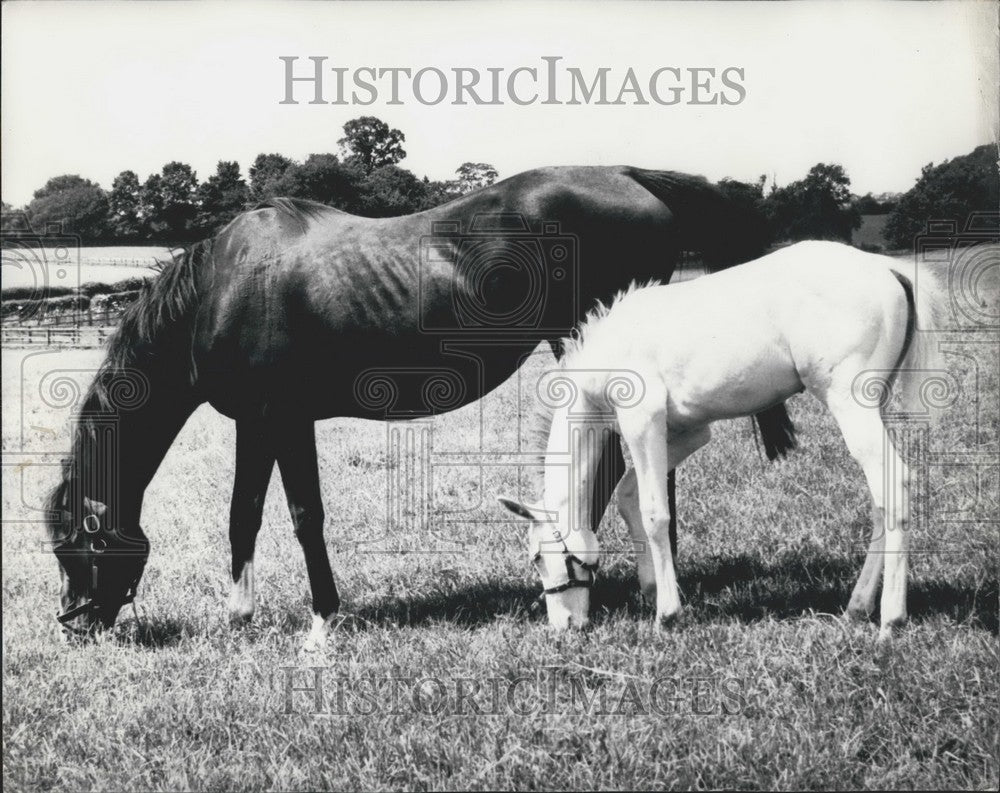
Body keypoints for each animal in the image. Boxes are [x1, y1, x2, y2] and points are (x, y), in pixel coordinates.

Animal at [47, 164, 792, 648]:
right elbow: (244, 516)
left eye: (77, 547)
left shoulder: (284, 421)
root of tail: (628, 176)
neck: (222, 290)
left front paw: (322, 619)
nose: (76, 624)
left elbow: (304, 517)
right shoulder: (255, 424)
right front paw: (241, 615)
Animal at [500, 240, 944, 636]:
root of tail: (888, 268)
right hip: (873, 407)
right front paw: (653, 589)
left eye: (538, 557)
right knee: (880, 501)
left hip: (850, 405)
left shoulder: (643, 422)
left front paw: (668, 615)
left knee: (895, 488)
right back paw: (858, 605)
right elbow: (628, 497)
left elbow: (654, 512)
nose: (563, 626)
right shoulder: (688, 433)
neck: (610, 351)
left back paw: (891, 619)